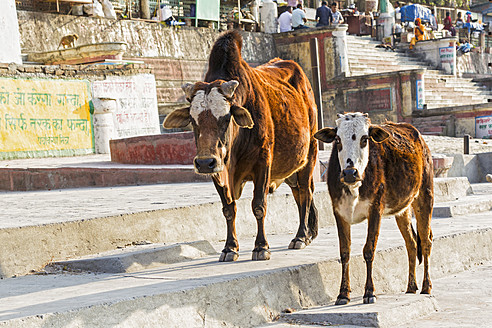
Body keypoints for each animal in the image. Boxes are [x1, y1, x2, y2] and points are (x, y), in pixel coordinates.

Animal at [163, 30, 320, 262]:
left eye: (226, 117)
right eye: (192, 120)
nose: (204, 163)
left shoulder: (263, 164)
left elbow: (259, 206)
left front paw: (261, 247)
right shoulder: (218, 172)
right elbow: (229, 209)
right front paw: (230, 248)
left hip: (309, 155)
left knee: (305, 193)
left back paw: (300, 236)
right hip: (291, 167)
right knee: (299, 194)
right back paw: (307, 234)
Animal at [314, 113, 432, 304]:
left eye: (364, 139)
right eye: (338, 139)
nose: (350, 173)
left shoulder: (375, 209)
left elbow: (369, 250)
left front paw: (369, 292)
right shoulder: (339, 212)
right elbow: (344, 252)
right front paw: (343, 294)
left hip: (425, 195)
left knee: (426, 240)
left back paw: (426, 286)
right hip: (402, 210)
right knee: (412, 243)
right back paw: (411, 287)